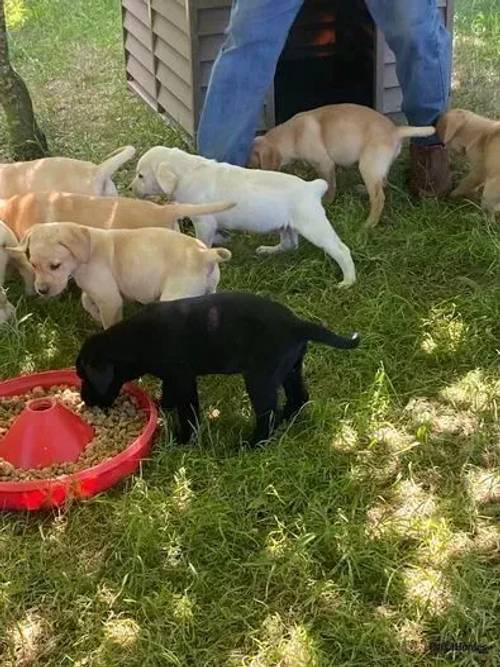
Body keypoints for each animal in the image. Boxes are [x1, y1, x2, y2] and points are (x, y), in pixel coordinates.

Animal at [76, 294, 360, 446]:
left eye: (86, 378)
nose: (84, 400)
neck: (134, 340)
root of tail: (296, 323)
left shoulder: (183, 378)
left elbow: (188, 410)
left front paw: (183, 438)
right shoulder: (175, 378)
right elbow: (170, 396)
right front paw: (161, 406)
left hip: (260, 379)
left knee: (268, 414)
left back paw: (252, 444)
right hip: (290, 369)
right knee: (298, 397)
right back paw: (286, 421)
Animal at [129, 147, 356, 288]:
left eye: (141, 175)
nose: (130, 188)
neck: (186, 172)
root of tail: (313, 187)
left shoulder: (204, 222)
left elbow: (203, 240)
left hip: (314, 226)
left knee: (341, 250)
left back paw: (348, 281)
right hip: (285, 226)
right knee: (289, 244)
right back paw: (269, 250)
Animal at [248, 103, 436, 227]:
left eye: (253, 164)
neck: (291, 134)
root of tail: (395, 131)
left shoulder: (325, 164)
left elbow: (330, 185)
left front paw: (326, 202)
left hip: (367, 165)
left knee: (378, 197)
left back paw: (369, 224)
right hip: (377, 167)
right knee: (382, 183)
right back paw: (363, 190)